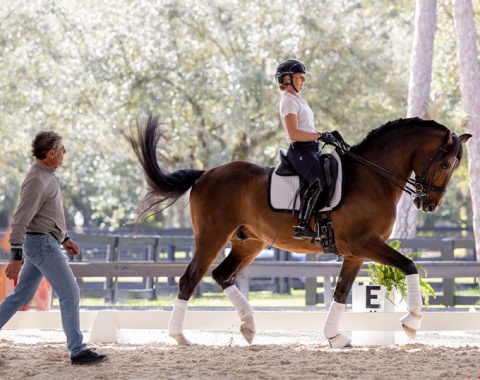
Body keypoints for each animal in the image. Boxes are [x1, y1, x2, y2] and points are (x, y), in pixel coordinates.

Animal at [129, 116, 470, 348]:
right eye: (444, 165)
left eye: (454, 167)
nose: (430, 204)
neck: (374, 177)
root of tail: (205, 174)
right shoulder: (366, 244)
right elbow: (410, 266)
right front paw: (412, 322)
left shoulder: (356, 253)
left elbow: (341, 292)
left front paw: (334, 336)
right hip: (211, 238)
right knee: (190, 279)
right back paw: (180, 336)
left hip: (249, 242)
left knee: (222, 275)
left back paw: (249, 327)